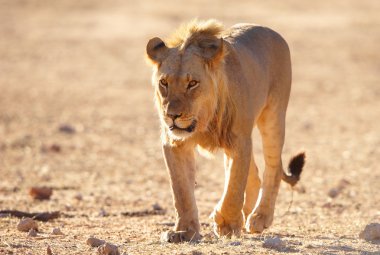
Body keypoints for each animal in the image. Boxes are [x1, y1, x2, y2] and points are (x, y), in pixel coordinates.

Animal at [145, 18, 306, 242]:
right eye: (164, 82)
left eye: (192, 83)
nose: (172, 115)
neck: (203, 121)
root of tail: (269, 30)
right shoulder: (175, 143)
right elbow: (181, 191)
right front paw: (184, 231)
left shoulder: (239, 141)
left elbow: (234, 186)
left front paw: (227, 224)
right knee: (254, 174)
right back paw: (247, 213)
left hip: (274, 116)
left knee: (273, 168)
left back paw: (259, 217)